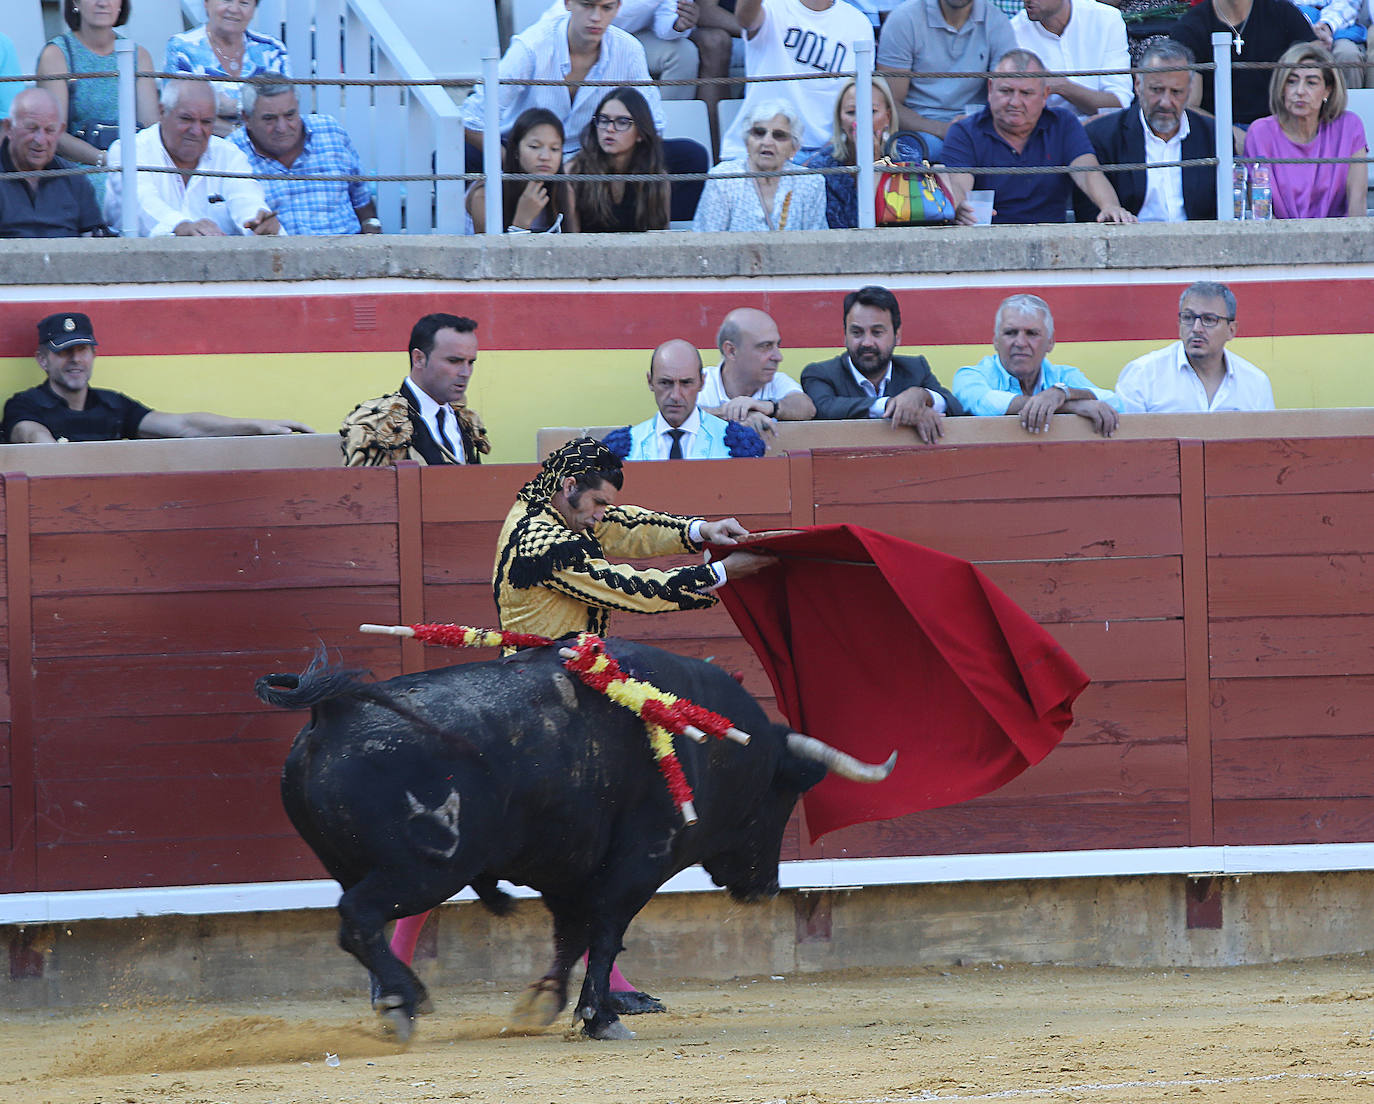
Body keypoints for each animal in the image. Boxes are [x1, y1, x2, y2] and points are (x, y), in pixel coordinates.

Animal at [258, 643, 895, 1039]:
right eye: (783, 795)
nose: (767, 886)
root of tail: (332, 713)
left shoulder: (566, 870)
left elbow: (572, 935)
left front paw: (545, 1001)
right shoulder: (639, 863)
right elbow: (607, 932)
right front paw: (601, 1017)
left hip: (359, 865)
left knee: (366, 928)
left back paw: (397, 998)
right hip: (422, 869)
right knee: (360, 917)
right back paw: (401, 1002)